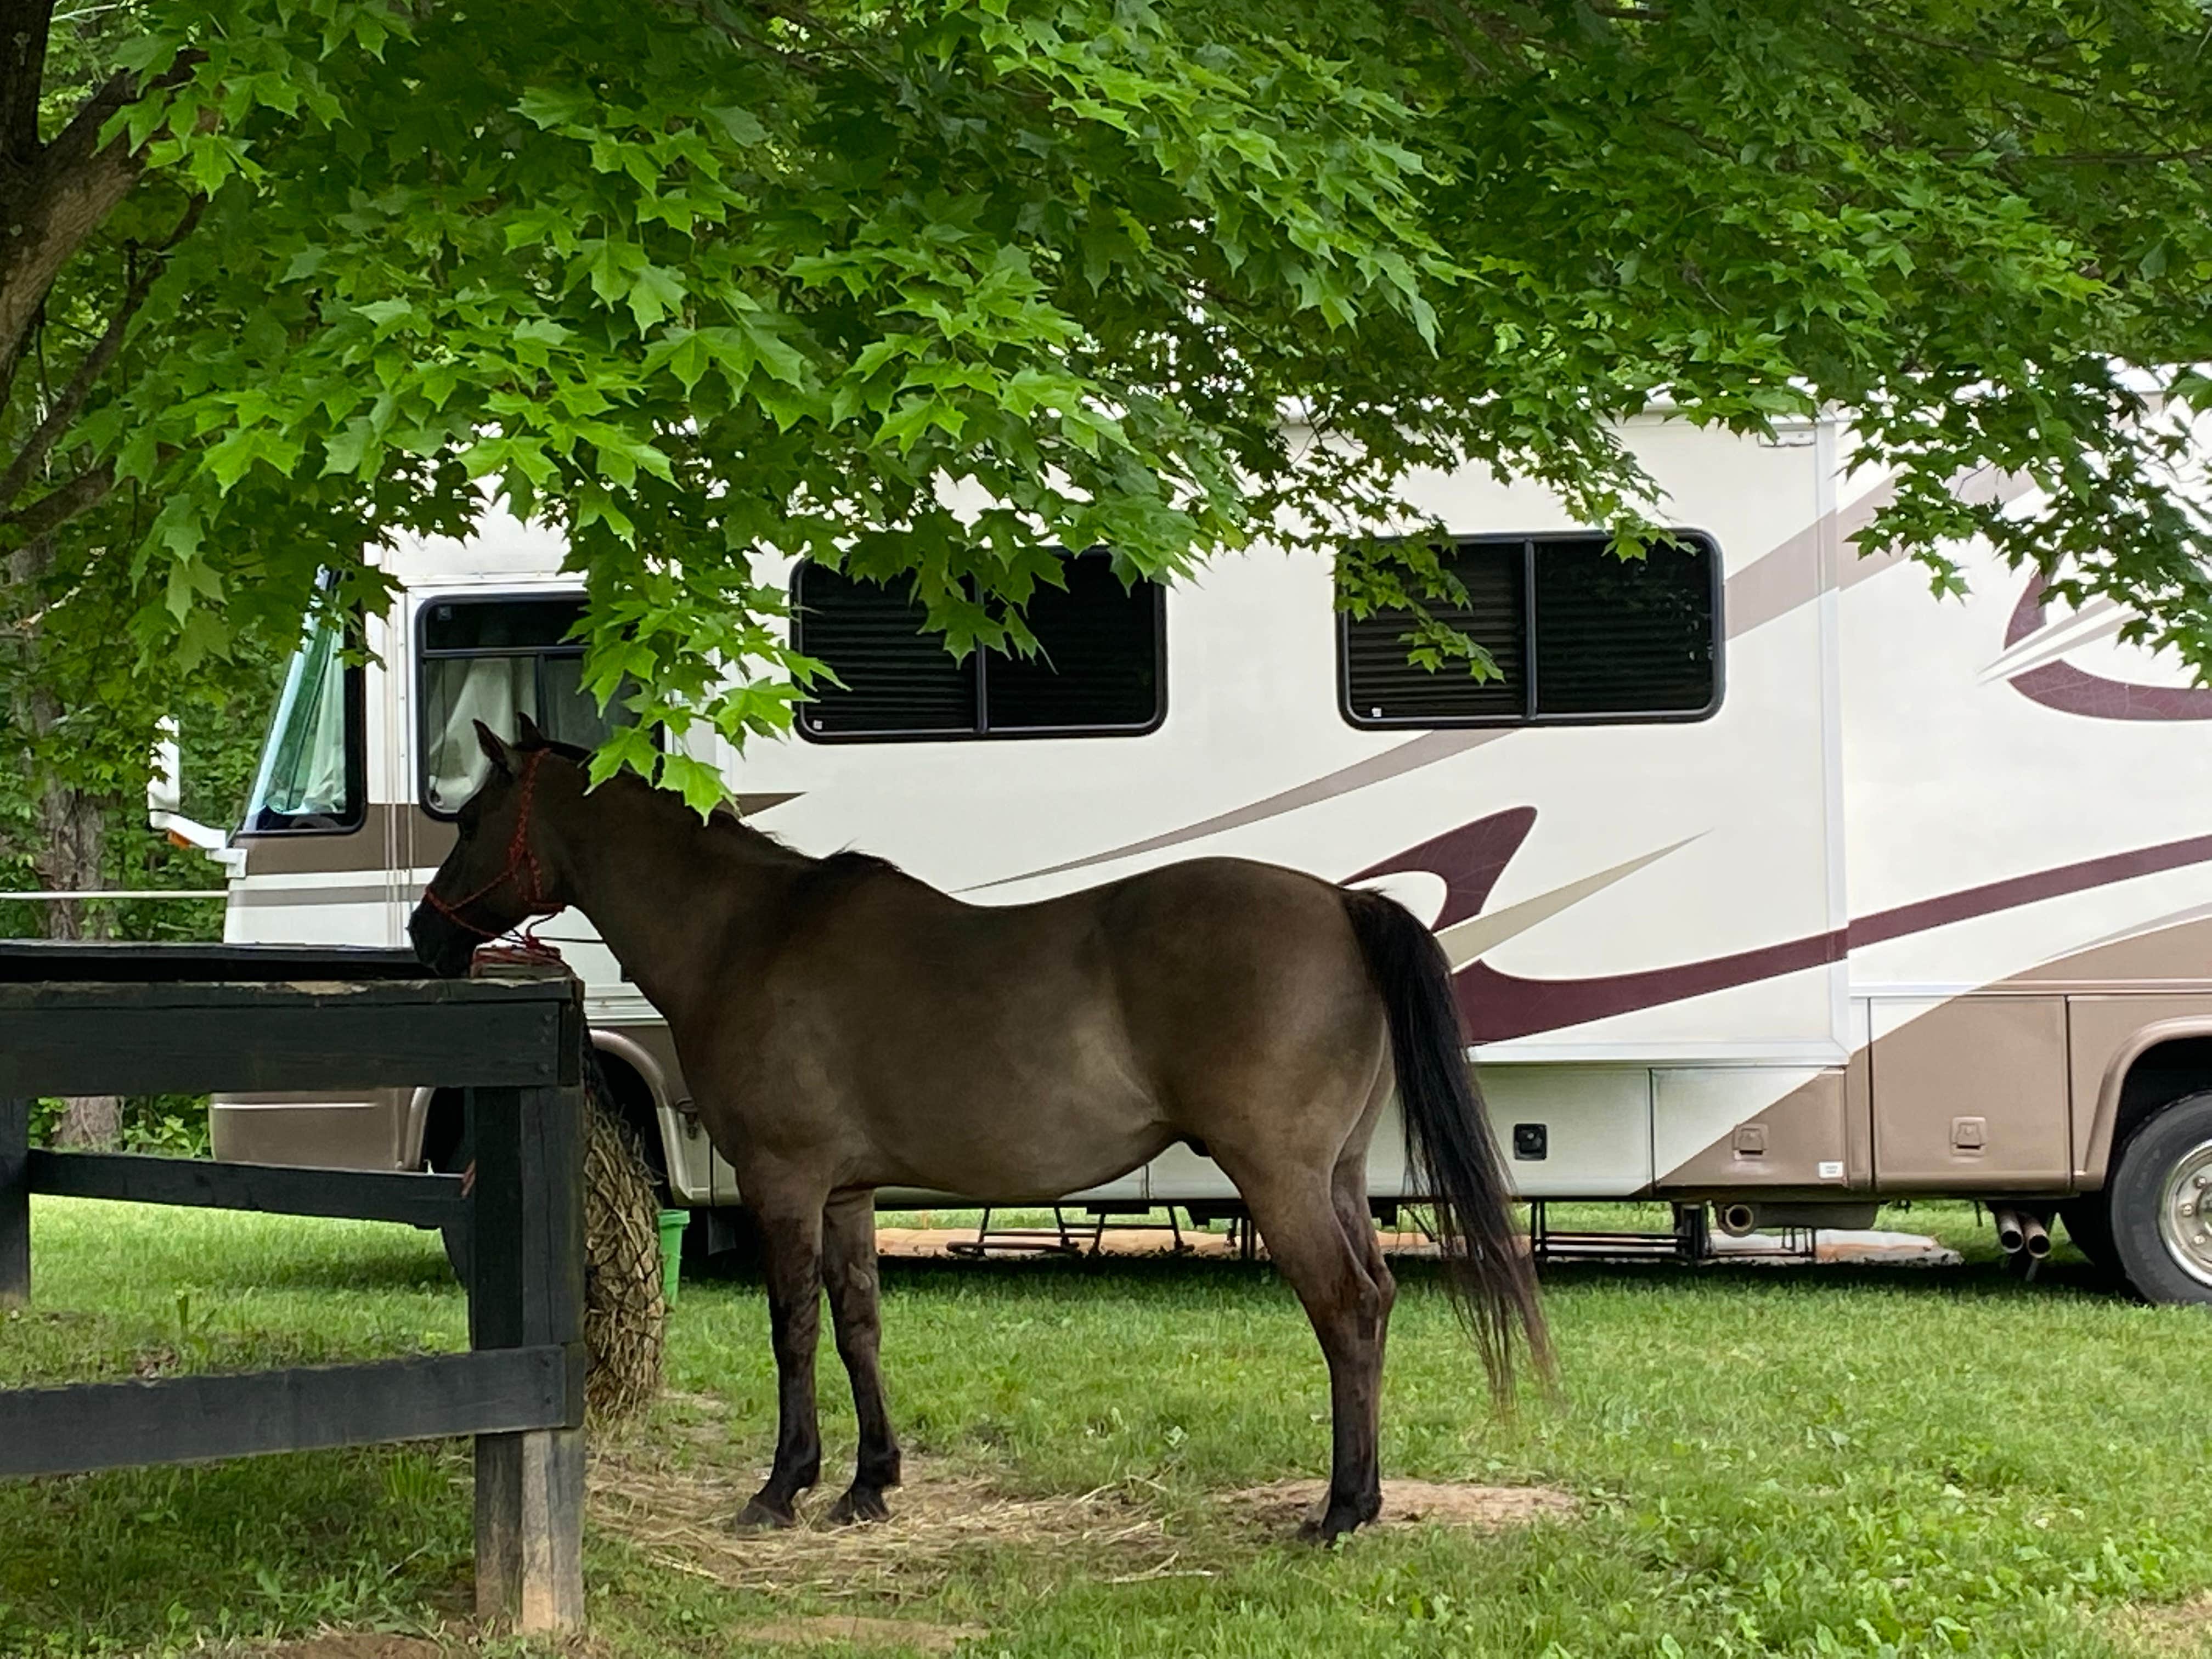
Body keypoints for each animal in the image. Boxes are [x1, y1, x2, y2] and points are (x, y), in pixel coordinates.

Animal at [408, 716, 1549, 1540]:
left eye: (467, 821)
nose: (424, 933)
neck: (746, 934)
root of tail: (1340, 905)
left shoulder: (783, 1179)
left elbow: (792, 1328)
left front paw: (782, 1486)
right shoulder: (847, 1190)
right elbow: (859, 1323)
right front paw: (868, 1482)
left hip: (1280, 1178)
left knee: (1345, 1308)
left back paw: (1340, 1508)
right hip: (1339, 1175)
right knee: (1378, 1297)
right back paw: (1363, 1496)